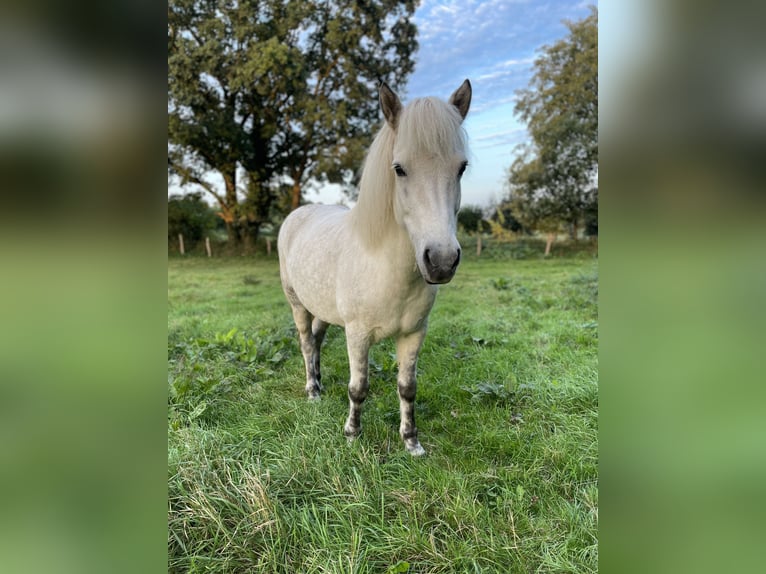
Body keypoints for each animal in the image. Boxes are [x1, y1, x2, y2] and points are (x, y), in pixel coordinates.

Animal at [278, 80, 472, 456]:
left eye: (462, 168)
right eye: (399, 168)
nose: (441, 261)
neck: (388, 269)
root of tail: (299, 214)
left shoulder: (414, 334)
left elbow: (407, 388)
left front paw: (411, 442)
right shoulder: (357, 335)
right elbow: (359, 387)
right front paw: (352, 434)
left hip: (323, 308)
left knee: (317, 341)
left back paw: (319, 383)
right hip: (297, 304)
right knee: (307, 343)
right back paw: (312, 391)